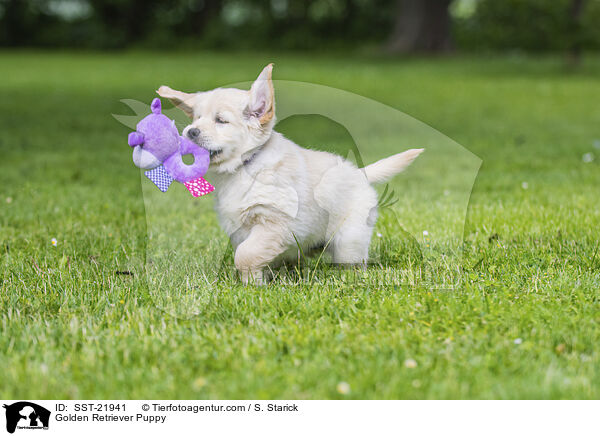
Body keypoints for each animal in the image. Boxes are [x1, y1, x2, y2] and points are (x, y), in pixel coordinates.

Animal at [157, 63, 424, 282]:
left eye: (221, 121)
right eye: (196, 118)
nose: (190, 131)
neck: (245, 166)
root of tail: (359, 172)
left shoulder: (274, 223)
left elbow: (245, 255)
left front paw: (251, 286)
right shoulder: (239, 228)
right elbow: (251, 254)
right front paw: (256, 281)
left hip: (349, 238)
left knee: (352, 262)